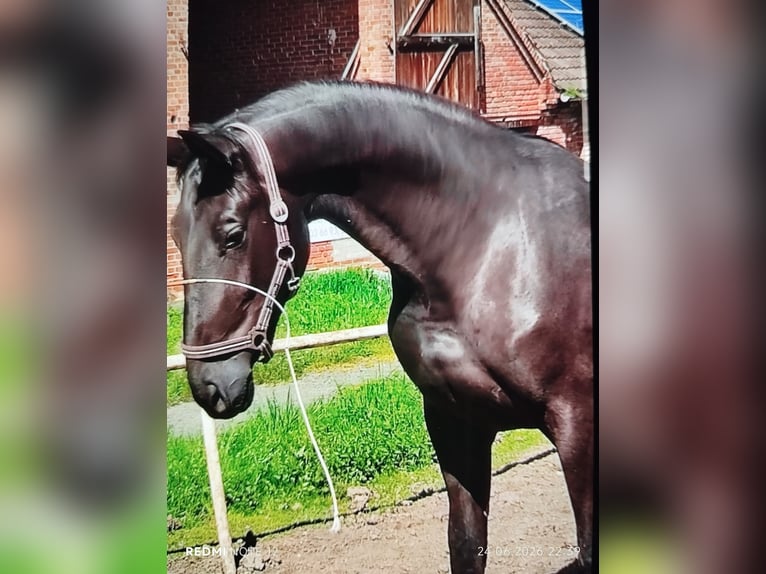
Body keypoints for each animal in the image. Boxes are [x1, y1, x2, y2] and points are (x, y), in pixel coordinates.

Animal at [167, 81, 592, 573]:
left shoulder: (577, 426)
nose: (209, 385)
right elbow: (466, 544)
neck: (487, 245)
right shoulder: (453, 420)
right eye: (176, 235)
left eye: (232, 234)